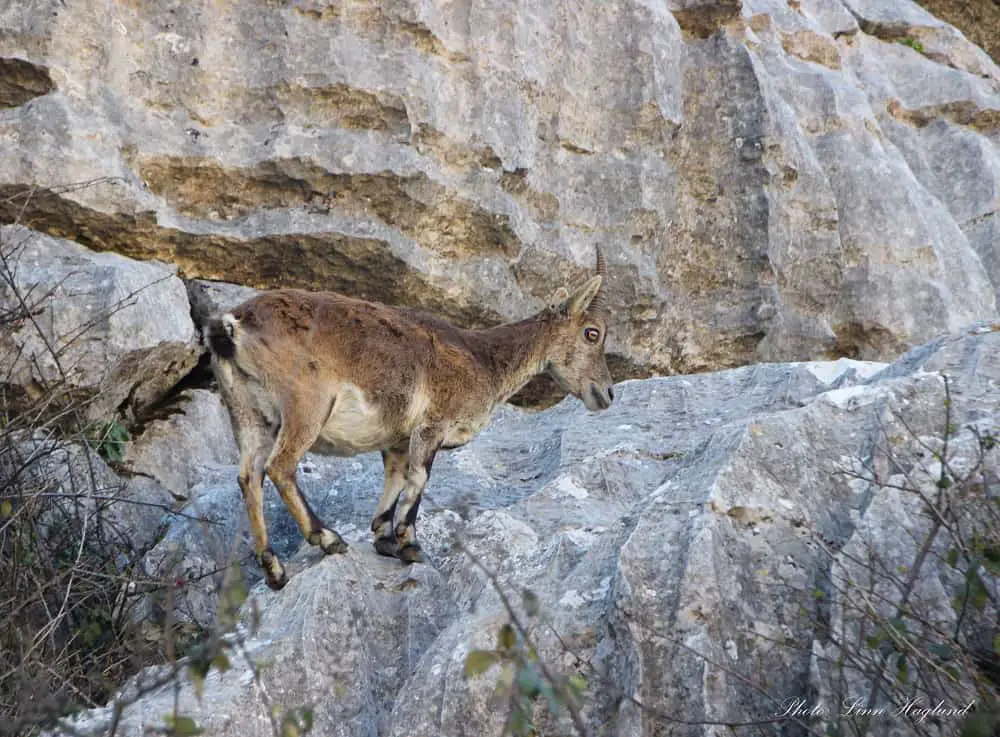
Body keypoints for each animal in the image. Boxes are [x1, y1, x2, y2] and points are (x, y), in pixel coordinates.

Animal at [203, 250, 612, 588]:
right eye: (592, 333)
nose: (607, 394)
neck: (482, 359)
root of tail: (231, 325)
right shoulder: (432, 426)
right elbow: (419, 478)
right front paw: (410, 544)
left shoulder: (397, 439)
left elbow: (395, 477)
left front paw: (384, 538)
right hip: (307, 405)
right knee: (280, 467)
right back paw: (328, 538)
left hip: (247, 413)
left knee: (249, 476)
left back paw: (273, 569)